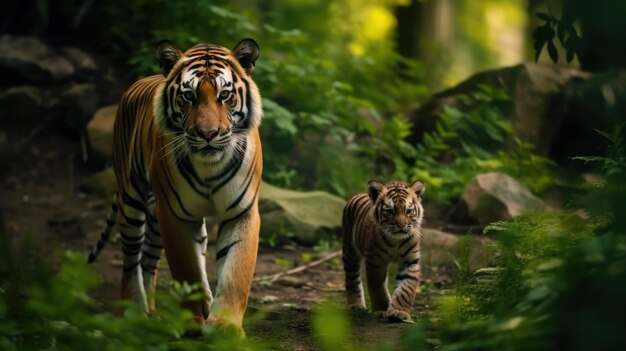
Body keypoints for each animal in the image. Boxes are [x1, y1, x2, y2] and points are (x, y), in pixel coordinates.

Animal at [87, 38, 260, 336]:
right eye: (188, 96)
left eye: (225, 95)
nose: (208, 134)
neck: (209, 166)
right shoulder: (175, 215)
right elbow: (186, 267)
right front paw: (192, 321)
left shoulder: (242, 211)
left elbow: (236, 271)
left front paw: (224, 326)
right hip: (132, 200)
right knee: (131, 260)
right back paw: (134, 311)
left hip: (157, 220)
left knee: (149, 260)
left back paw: (154, 312)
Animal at [342, 180, 424, 324]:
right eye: (390, 211)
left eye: (409, 211)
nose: (401, 225)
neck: (396, 241)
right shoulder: (375, 261)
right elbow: (377, 287)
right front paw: (381, 310)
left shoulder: (410, 261)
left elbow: (406, 288)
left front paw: (399, 312)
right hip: (350, 251)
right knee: (352, 278)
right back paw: (356, 306)